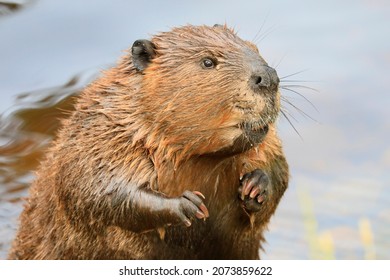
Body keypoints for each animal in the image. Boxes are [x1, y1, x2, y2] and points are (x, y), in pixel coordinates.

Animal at [8, 24, 290, 260]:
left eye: (255, 49)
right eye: (208, 61)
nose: (268, 77)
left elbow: (278, 167)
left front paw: (255, 186)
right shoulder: (103, 134)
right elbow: (97, 189)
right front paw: (188, 204)